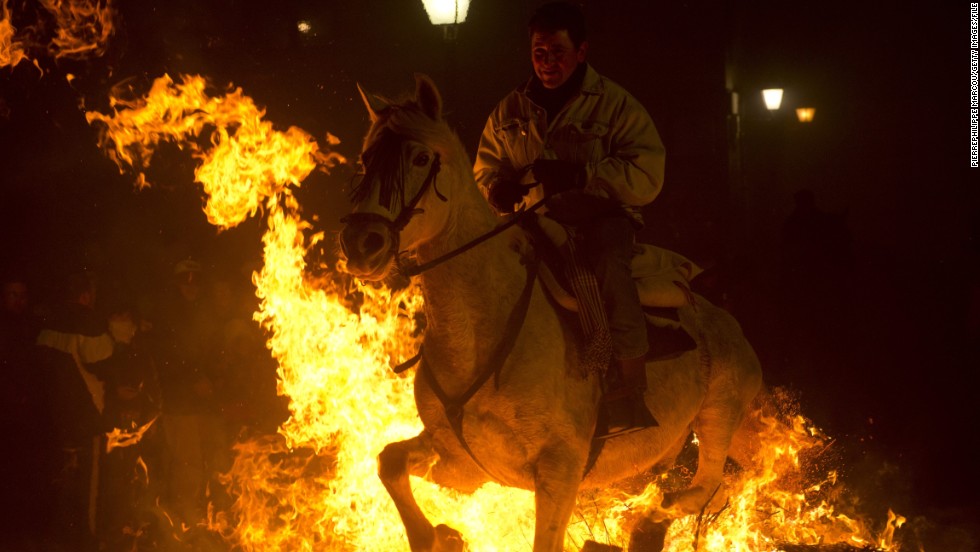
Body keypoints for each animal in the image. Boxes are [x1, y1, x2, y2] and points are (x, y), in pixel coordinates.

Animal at [338, 74, 764, 552]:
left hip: (718, 417)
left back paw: (651, 517)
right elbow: (389, 461)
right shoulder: (460, 462)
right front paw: (437, 535)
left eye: (421, 156)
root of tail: (727, 323)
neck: (480, 330)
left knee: (706, 488)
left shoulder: (559, 470)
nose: (361, 242)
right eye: (367, 157)